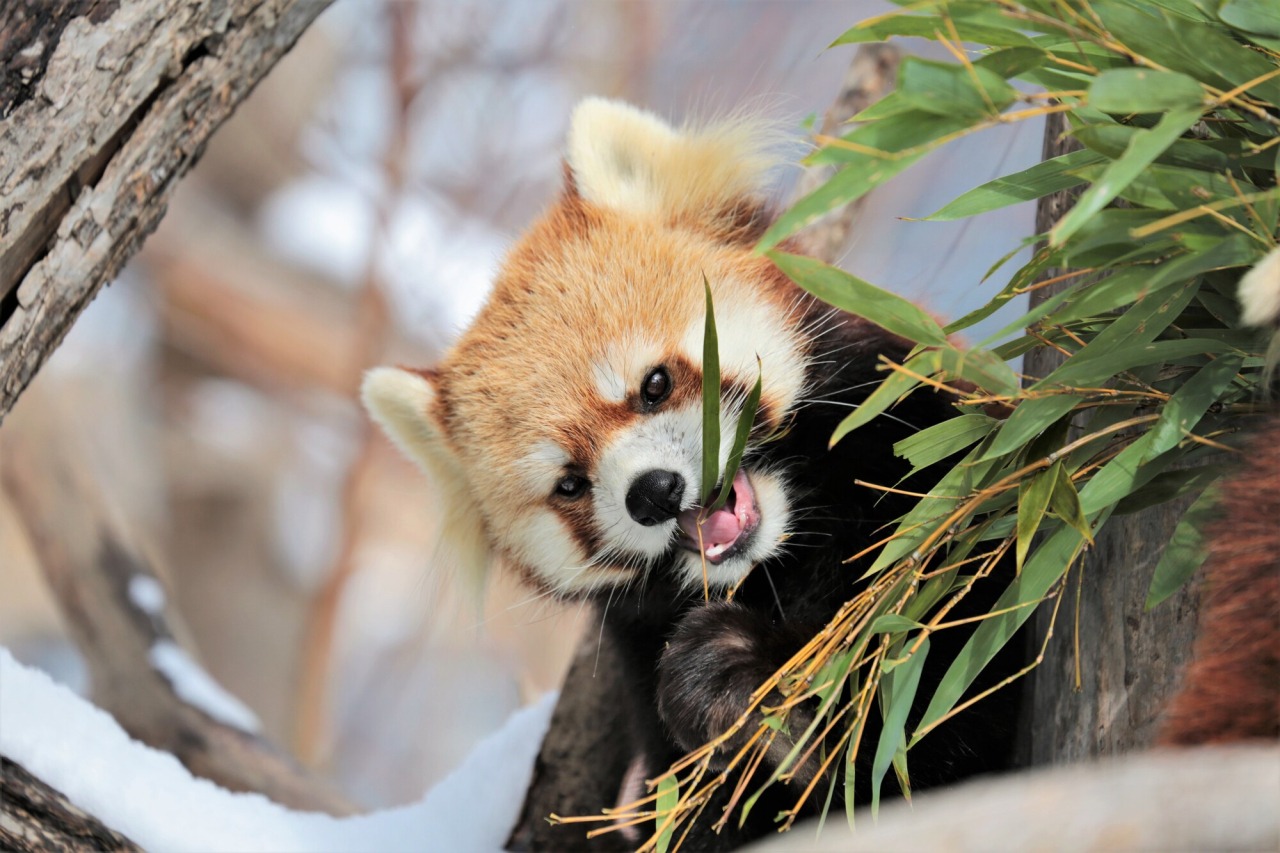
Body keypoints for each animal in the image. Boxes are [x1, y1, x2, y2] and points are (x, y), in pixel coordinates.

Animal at [360, 97, 1018, 845]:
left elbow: (955, 673)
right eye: (570, 482)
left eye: (654, 384)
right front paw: (738, 696)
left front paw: (741, 670)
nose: (653, 492)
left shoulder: (933, 453)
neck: (787, 553)